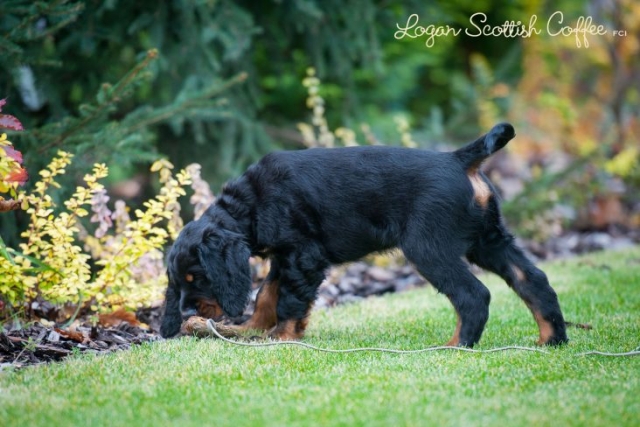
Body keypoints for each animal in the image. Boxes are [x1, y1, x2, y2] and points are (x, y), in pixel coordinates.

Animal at [162, 123, 568, 348]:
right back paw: (552, 340)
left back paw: (456, 345)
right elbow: (267, 292)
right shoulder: (285, 254)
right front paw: (253, 327)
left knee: (474, 294)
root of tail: (458, 158)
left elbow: (288, 299)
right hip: (488, 239)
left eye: (197, 277)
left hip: (428, 247)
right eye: (176, 283)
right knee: (533, 280)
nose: (186, 313)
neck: (251, 201)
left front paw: (281, 337)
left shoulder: (303, 255)